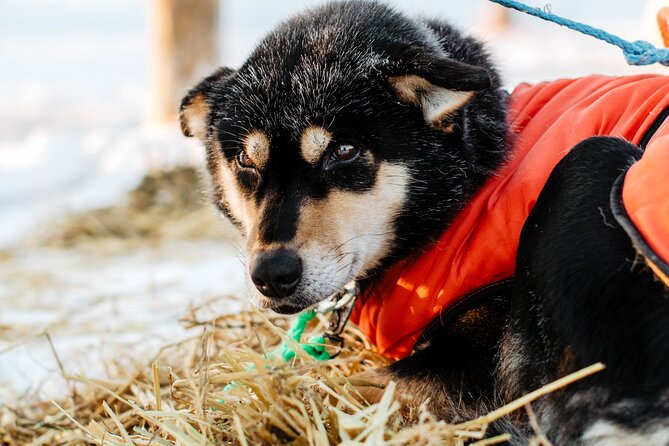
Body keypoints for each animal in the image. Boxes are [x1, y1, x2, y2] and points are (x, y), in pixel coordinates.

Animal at [179, 1, 668, 444]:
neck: (467, 184)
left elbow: (335, 384)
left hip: (590, 158)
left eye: (344, 150)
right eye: (245, 160)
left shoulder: (471, 364)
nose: (272, 274)